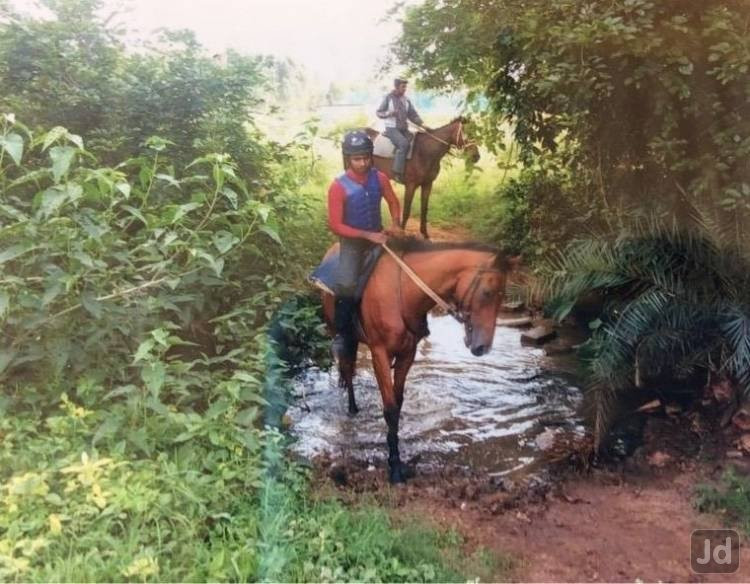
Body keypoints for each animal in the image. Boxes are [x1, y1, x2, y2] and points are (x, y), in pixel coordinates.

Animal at [320, 237, 520, 484]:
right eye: (487, 292)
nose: (483, 347)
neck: (402, 291)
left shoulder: (408, 354)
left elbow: (398, 404)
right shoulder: (379, 354)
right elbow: (390, 409)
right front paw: (395, 468)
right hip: (338, 332)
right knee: (347, 369)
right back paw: (352, 409)